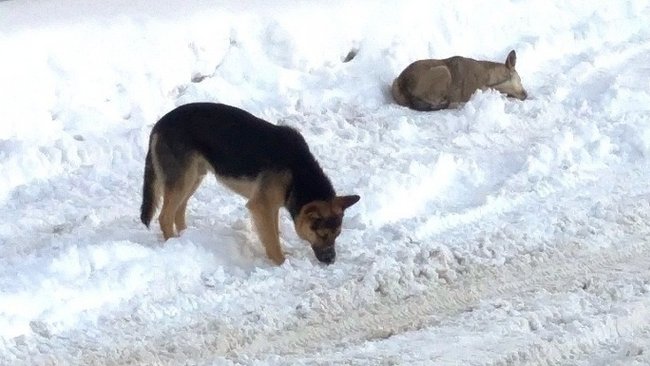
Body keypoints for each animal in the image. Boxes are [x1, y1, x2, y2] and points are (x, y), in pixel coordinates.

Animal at [139, 101, 360, 264]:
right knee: (165, 216)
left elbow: (273, 230)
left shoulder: (271, 206)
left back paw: (186, 238)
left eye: (337, 234)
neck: (298, 172)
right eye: (322, 234)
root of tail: (159, 124)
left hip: (193, 177)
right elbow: (271, 238)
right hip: (183, 180)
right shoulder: (261, 205)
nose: (331, 261)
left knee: (179, 210)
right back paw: (173, 244)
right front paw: (280, 262)